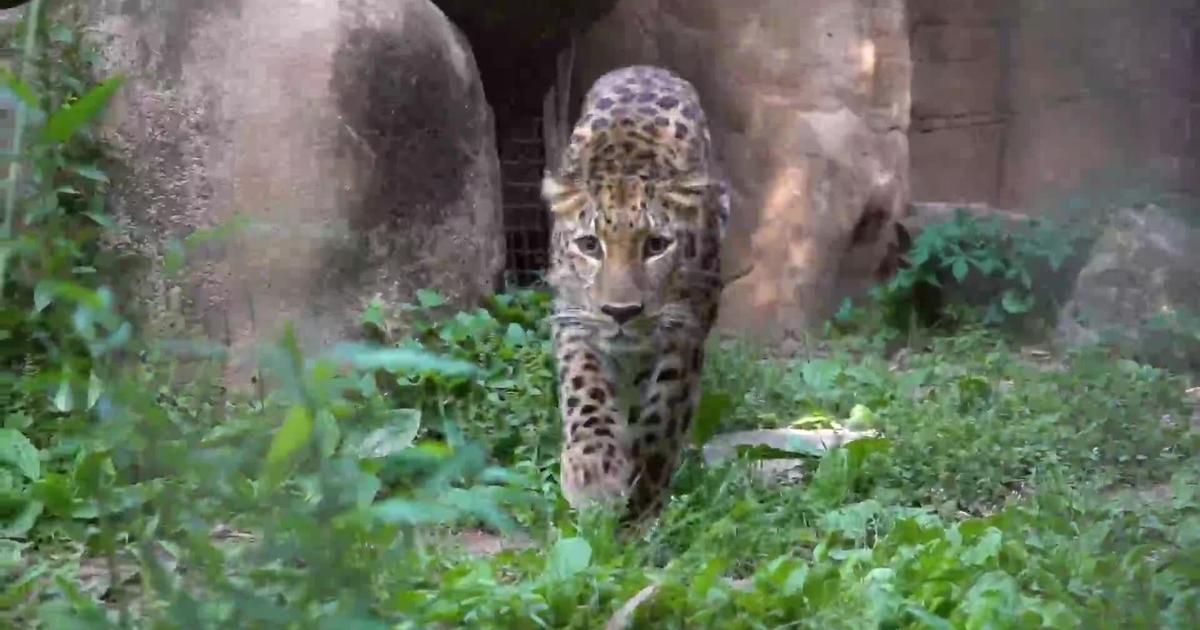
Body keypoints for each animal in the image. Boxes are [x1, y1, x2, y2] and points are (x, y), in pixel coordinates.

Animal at [540, 65, 730, 521]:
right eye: (590, 245)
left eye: (656, 245)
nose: (621, 312)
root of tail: (646, 68)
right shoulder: (573, 317)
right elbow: (585, 387)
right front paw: (592, 472)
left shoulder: (685, 328)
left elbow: (664, 414)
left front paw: (643, 500)